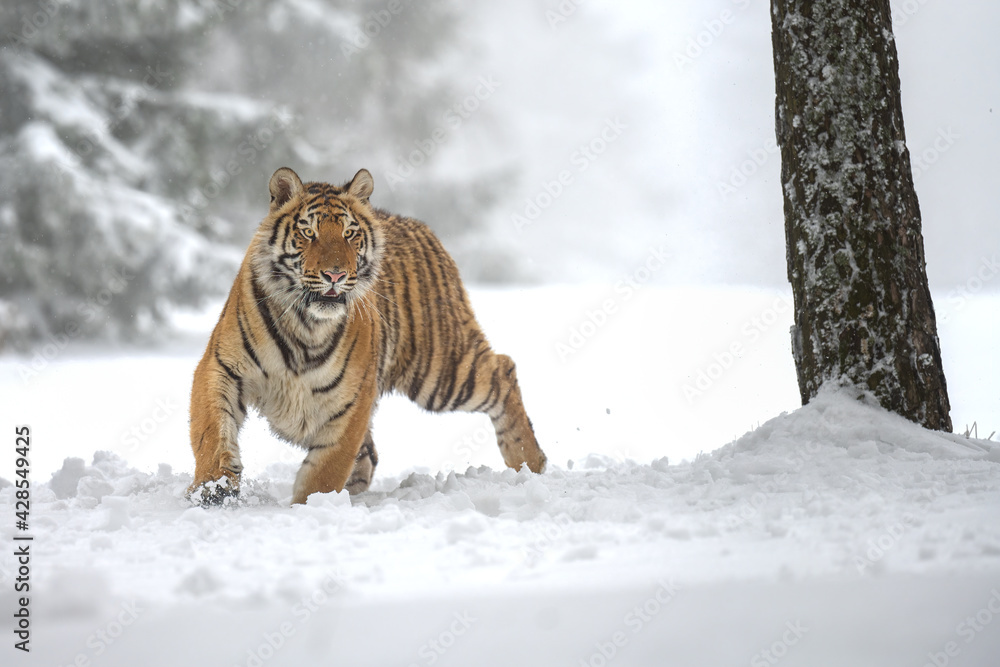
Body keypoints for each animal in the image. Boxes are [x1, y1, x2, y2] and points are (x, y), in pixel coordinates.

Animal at [188, 167, 547, 505]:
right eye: (308, 233)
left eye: (349, 234)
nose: (335, 275)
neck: (306, 324)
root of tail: (421, 228)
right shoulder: (221, 366)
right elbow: (211, 430)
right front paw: (213, 489)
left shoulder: (353, 397)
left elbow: (327, 468)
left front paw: (311, 506)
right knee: (370, 455)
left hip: (439, 371)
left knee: (503, 368)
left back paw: (529, 462)